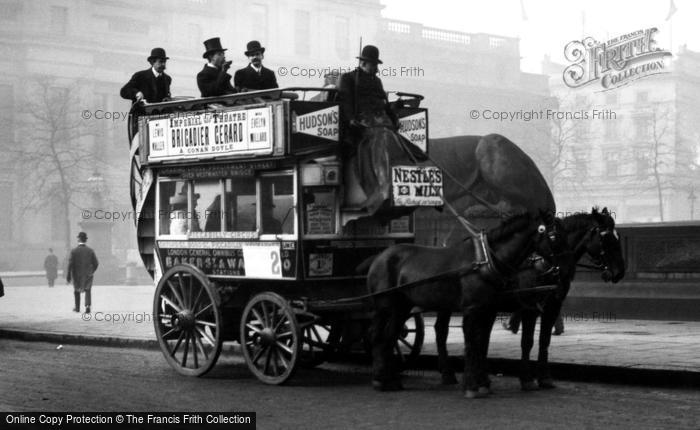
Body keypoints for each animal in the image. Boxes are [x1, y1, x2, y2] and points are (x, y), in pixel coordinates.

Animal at [366, 213, 556, 398]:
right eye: (551, 234)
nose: (554, 267)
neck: (485, 261)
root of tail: (380, 256)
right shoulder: (474, 308)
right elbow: (473, 344)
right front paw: (472, 386)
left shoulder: (488, 309)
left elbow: (482, 343)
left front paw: (482, 383)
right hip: (385, 306)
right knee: (379, 336)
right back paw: (380, 379)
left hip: (402, 307)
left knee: (391, 336)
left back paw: (391, 380)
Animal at [434, 208, 628, 390]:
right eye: (606, 239)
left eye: (618, 237)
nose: (619, 272)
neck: (545, 263)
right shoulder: (530, 307)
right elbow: (527, 342)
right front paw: (527, 378)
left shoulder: (553, 306)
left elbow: (544, 340)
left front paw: (544, 377)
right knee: (442, 332)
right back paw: (448, 374)